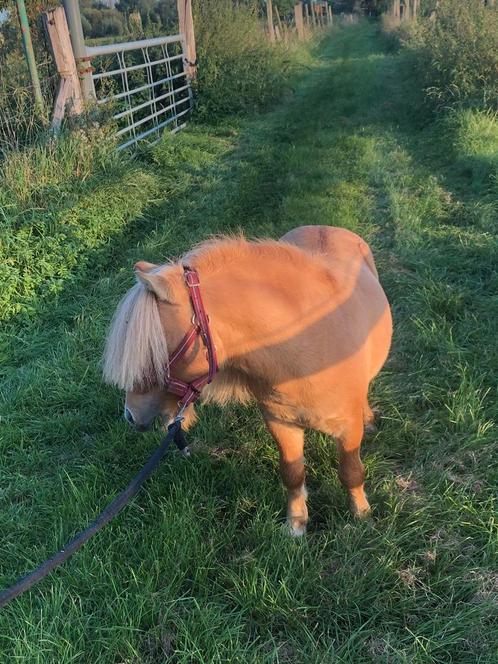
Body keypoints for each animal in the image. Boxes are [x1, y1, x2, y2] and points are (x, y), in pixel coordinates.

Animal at [104, 226, 392, 536]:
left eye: (151, 352)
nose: (130, 415)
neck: (308, 344)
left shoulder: (348, 428)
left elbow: (351, 472)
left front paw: (361, 516)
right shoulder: (280, 423)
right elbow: (292, 472)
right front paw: (296, 524)